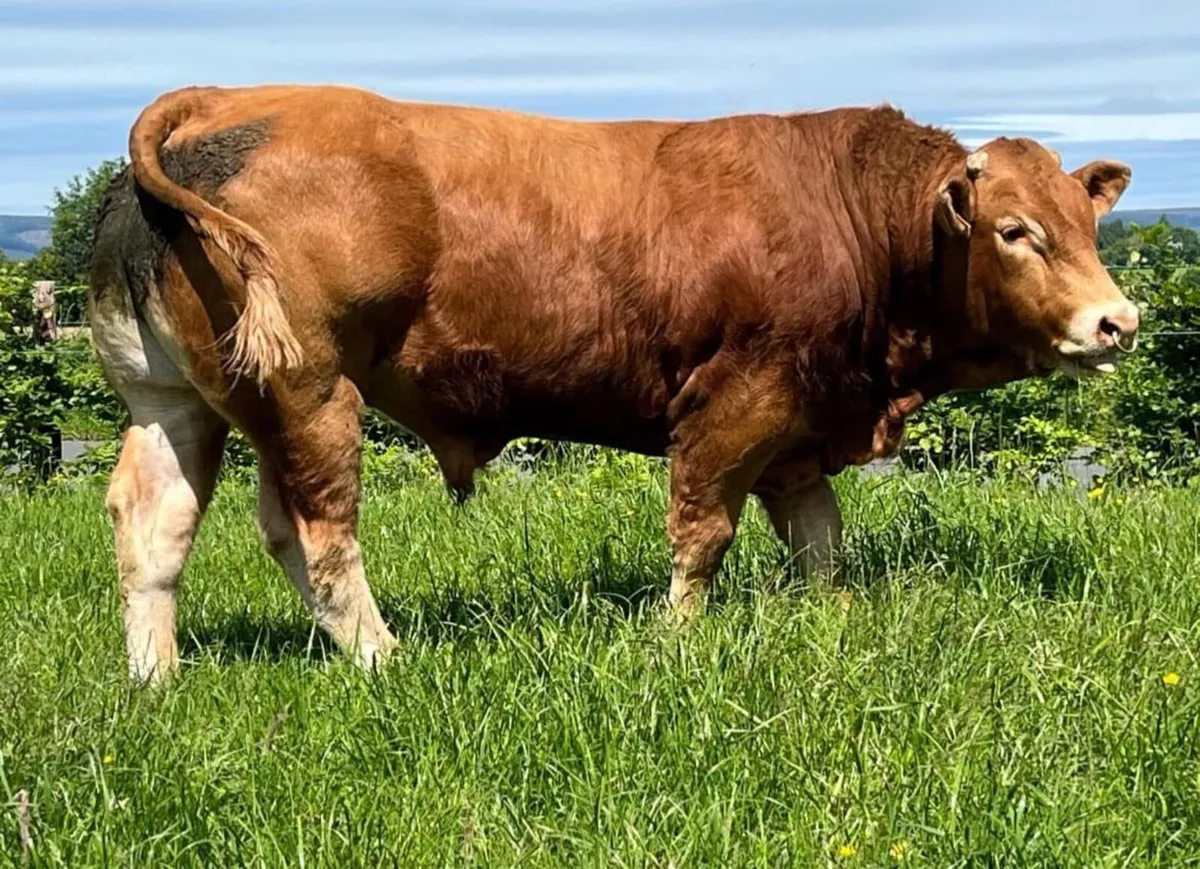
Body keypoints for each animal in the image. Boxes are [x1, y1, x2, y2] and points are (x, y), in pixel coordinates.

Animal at [88, 84, 1140, 683]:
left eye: (1086, 224)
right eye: (1015, 229)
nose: (1118, 322)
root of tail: (217, 99)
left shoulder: (801, 422)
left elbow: (821, 541)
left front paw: (831, 621)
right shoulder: (736, 402)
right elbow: (703, 531)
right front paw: (676, 640)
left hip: (169, 401)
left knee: (154, 528)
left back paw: (155, 679)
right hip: (310, 391)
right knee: (313, 531)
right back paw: (386, 660)